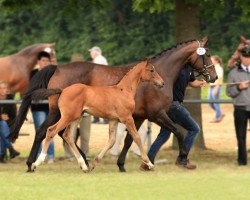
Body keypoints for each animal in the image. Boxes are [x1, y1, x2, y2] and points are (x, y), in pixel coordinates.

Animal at [31, 59, 164, 172]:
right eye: (151, 70)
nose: (162, 83)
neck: (124, 90)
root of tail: (62, 90)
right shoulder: (127, 118)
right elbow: (136, 137)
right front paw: (150, 164)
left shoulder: (113, 120)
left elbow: (111, 141)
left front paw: (94, 164)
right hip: (67, 117)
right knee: (51, 130)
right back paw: (35, 163)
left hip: (76, 117)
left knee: (67, 136)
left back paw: (84, 166)